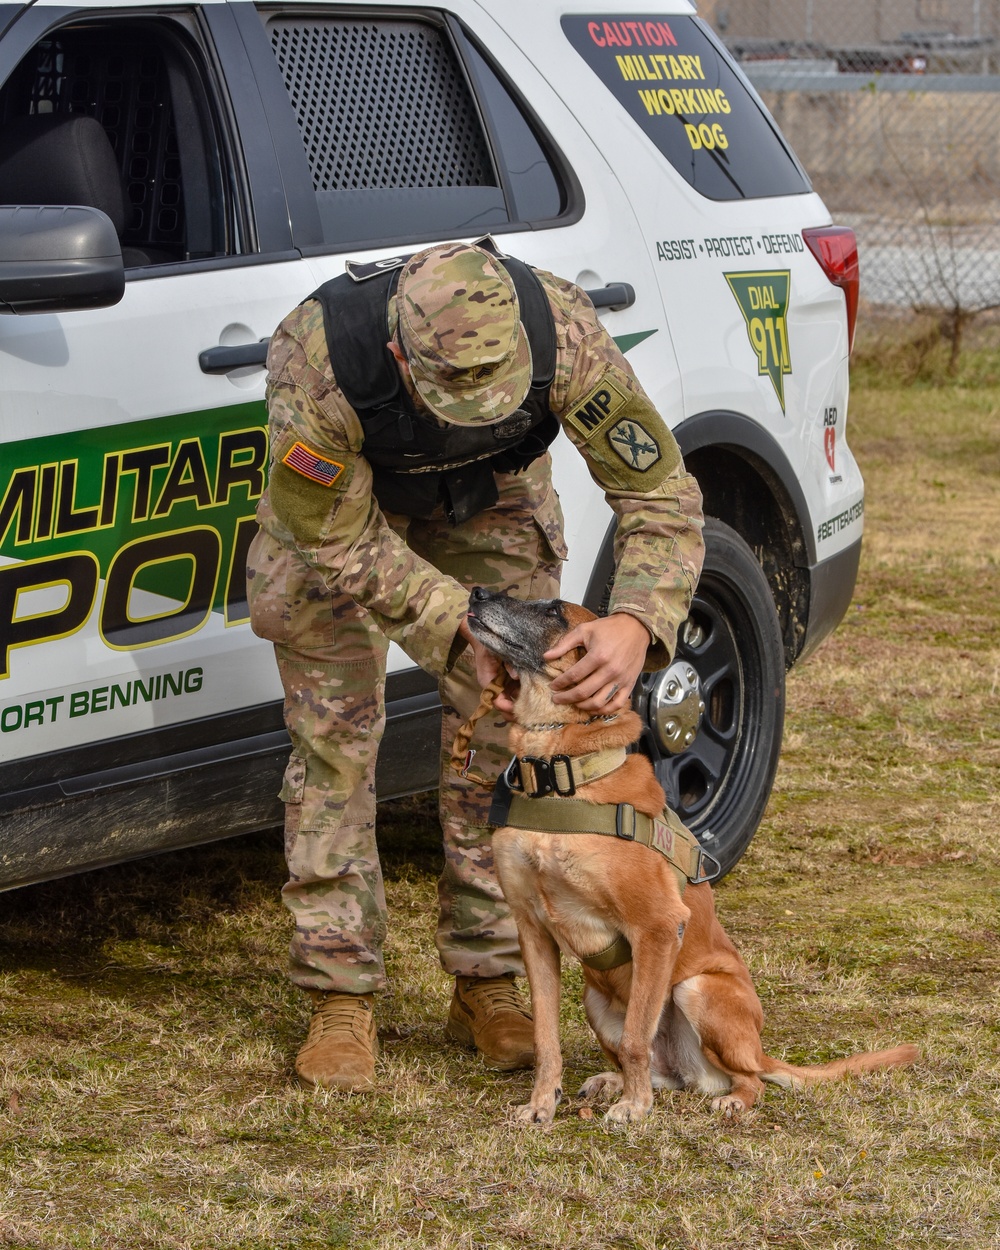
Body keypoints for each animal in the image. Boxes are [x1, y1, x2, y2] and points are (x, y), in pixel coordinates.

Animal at [465, 590, 920, 1130]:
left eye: (554, 610)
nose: (477, 593)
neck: (563, 776)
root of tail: (754, 1051)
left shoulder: (658, 926)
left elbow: (637, 1039)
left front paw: (635, 1108)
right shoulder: (534, 932)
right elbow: (546, 1038)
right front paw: (541, 1103)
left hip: (697, 990)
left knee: (742, 1077)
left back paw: (727, 1099)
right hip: (596, 1000)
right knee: (661, 1070)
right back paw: (614, 1081)